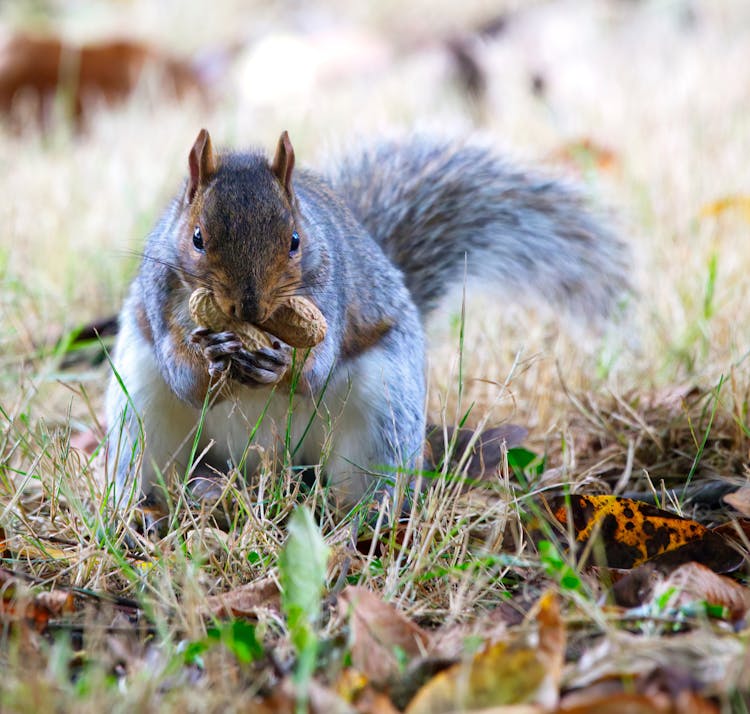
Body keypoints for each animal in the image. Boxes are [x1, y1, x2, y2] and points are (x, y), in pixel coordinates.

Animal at [106, 126, 632, 516]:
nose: (249, 310)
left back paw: (362, 522)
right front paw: (210, 359)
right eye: (197, 237)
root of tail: (263, 468)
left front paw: (281, 364)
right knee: (144, 467)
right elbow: (182, 374)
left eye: (295, 241)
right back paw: (141, 513)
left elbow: (316, 368)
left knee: (366, 486)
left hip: (382, 416)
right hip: (141, 413)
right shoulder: (159, 297)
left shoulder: (330, 300)